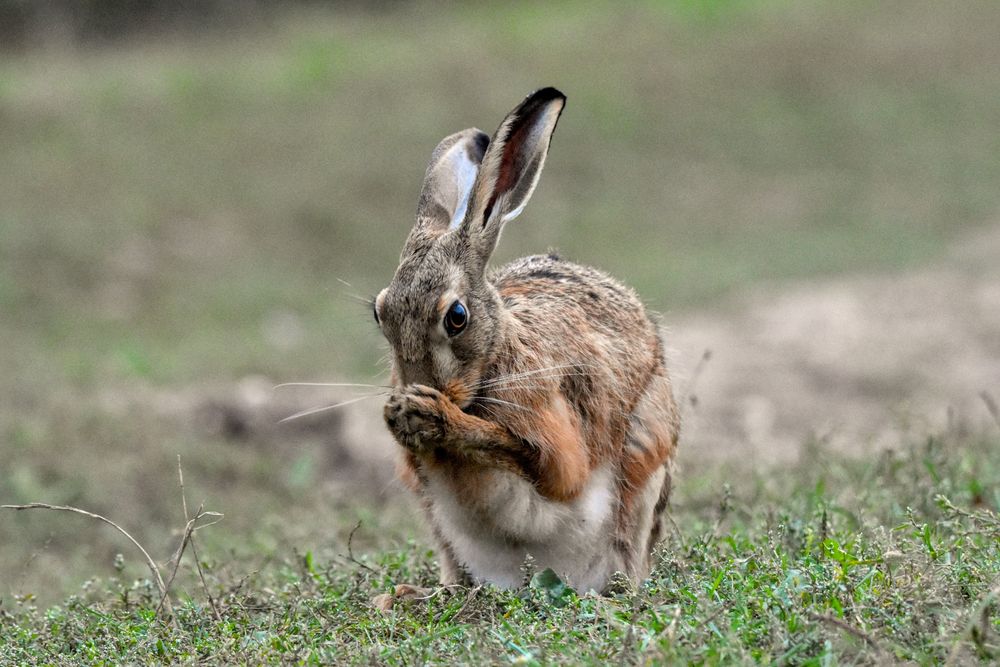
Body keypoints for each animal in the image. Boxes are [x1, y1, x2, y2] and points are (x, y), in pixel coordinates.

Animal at [376, 87, 680, 593]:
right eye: (380, 313)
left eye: (456, 317)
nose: (418, 387)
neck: (490, 364)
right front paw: (406, 415)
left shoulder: (551, 423)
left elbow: (547, 466)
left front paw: (433, 415)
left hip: (645, 460)